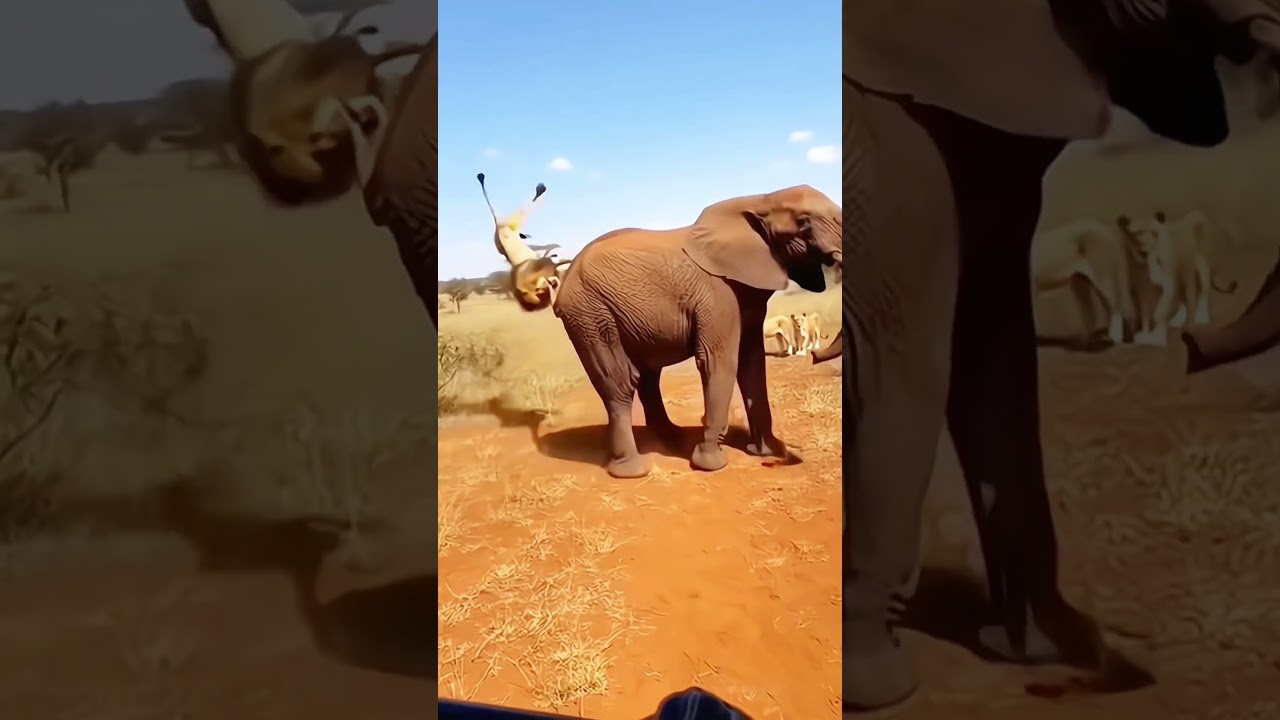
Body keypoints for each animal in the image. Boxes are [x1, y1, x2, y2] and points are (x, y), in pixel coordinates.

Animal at [493, 183, 842, 479]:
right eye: (804, 222)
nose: (813, 356)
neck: (760, 199)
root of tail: (563, 277)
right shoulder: (716, 293)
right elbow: (718, 361)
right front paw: (710, 464)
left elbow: (751, 363)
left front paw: (764, 451)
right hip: (590, 312)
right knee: (620, 381)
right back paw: (632, 470)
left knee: (647, 376)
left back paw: (671, 439)